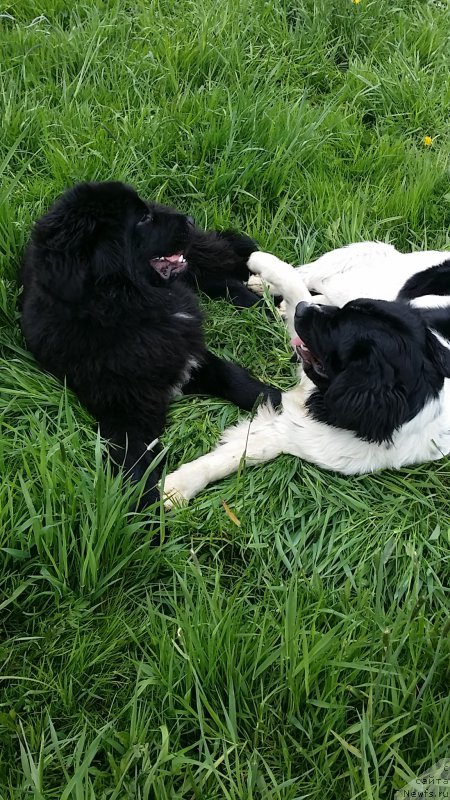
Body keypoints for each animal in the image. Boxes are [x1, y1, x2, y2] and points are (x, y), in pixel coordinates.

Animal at [22, 180, 282, 506]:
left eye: (145, 211)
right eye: (143, 219)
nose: (190, 220)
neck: (128, 311)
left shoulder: (190, 356)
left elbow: (235, 378)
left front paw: (280, 401)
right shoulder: (124, 407)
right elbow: (133, 460)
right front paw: (147, 510)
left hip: (200, 259)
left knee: (231, 269)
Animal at [163, 244, 450, 506]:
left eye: (338, 329)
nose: (301, 309)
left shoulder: (301, 433)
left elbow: (241, 453)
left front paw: (177, 486)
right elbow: (294, 281)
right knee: (314, 277)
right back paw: (262, 282)